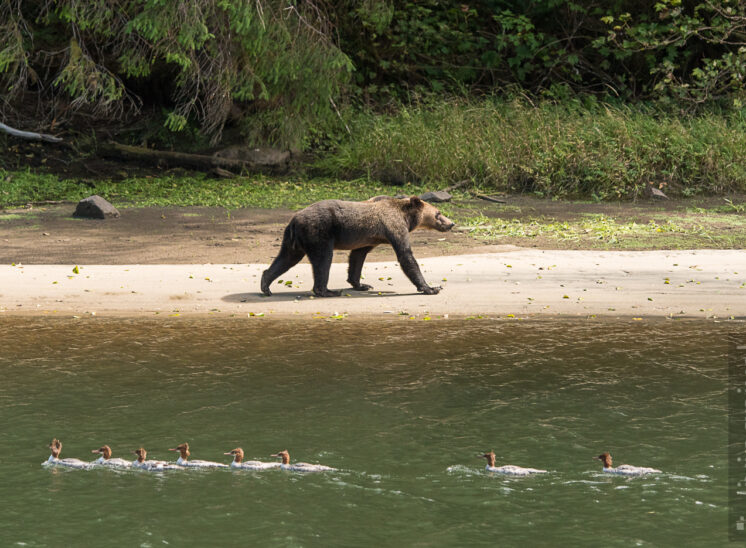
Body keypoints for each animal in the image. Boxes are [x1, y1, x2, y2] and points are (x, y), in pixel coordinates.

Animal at [262, 197, 454, 298]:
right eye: (438, 213)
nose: (451, 223)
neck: (407, 218)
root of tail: (294, 220)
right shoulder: (394, 226)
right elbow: (406, 255)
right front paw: (431, 288)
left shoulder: (368, 239)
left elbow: (357, 257)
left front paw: (362, 284)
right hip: (318, 232)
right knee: (323, 260)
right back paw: (328, 291)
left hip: (294, 239)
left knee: (287, 258)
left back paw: (266, 284)